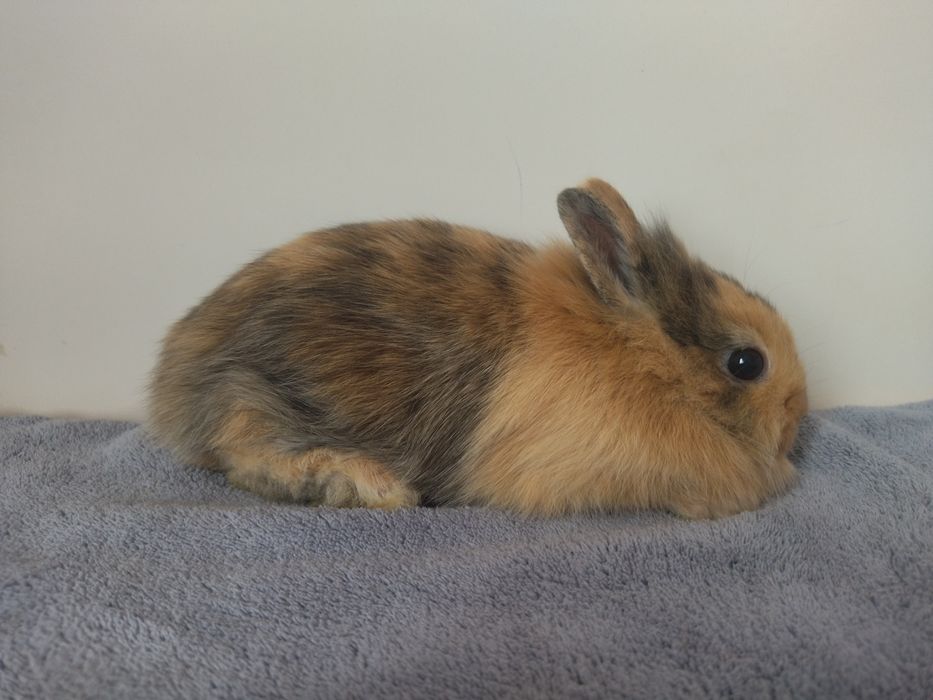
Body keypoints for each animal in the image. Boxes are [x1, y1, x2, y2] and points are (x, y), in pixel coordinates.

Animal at [148, 178, 808, 518]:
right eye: (747, 363)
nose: (798, 416)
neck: (638, 359)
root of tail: (171, 381)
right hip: (254, 396)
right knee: (246, 458)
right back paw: (366, 485)